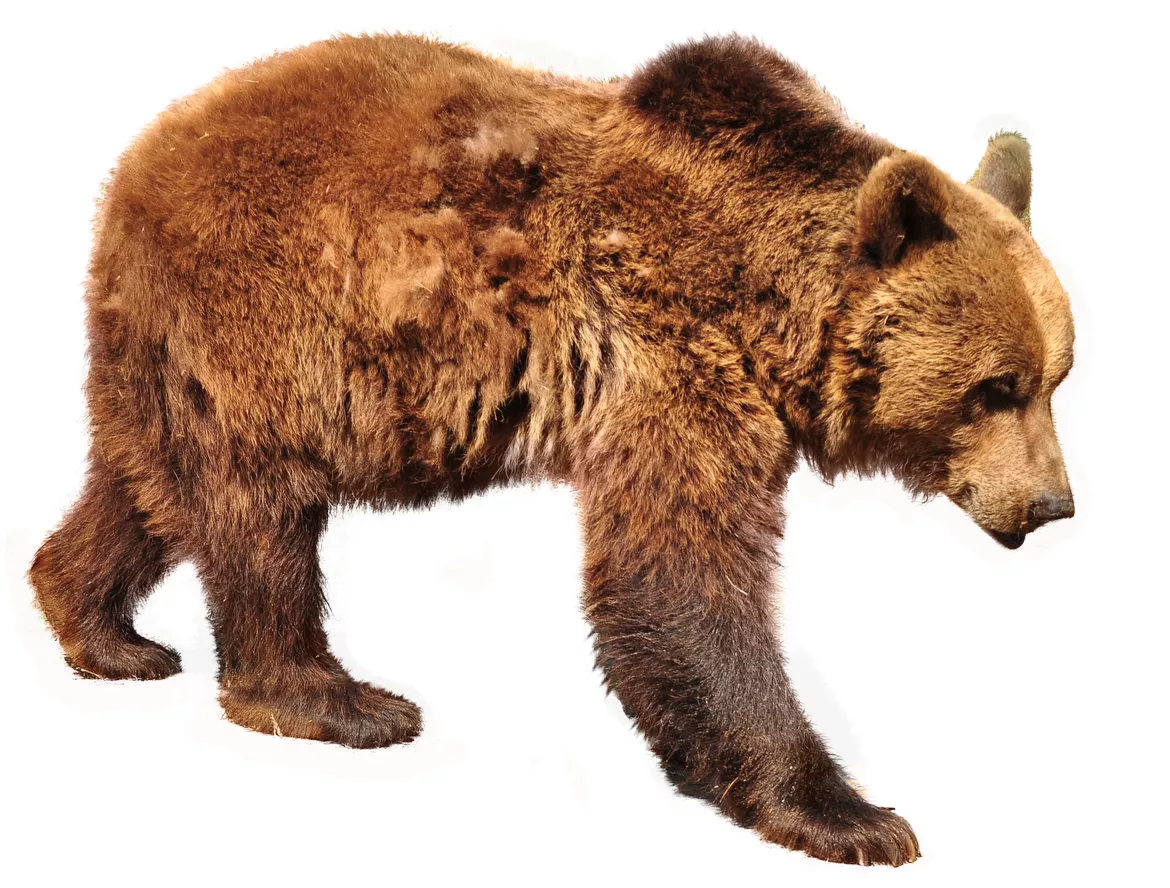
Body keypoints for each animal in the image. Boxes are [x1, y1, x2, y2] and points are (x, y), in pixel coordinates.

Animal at [29, 33, 1075, 866]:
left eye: (1058, 376)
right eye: (997, 387)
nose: (1053, 504)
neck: (763, 298)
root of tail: (142, 155)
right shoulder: (667, 352)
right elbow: (679, 574)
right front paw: (850, 816)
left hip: (168, 352)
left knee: (146, 488)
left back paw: (101, 629)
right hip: (269, 315)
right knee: (262, 514)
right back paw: (339, 701)